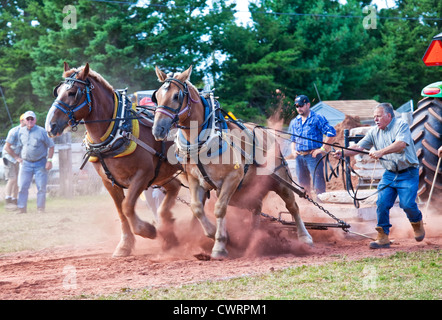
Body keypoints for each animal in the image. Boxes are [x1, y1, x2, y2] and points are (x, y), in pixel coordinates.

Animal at [45, 63, 182, 258]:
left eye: (72, 93)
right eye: (57, 91)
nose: (50, 125)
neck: (118, 130)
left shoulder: (143, 175)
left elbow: (127, 206)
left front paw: (147, 230)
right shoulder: (109, 181)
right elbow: (121, 211)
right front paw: (125, 245)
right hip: (163, 174)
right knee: (175, 187)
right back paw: (169, 229)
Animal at [152, 66, 314, 258]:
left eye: (177, 96)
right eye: (156, 96)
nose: (158, 129)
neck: (205, 141)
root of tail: (268, 134)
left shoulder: (232, 178)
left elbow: (220, 209)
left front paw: (219, 246)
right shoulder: (195, 180)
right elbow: (196, 208)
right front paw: (213, 233)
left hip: (279, 180)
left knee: (292, 206)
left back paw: (305, 238)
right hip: (242, 193)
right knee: (256, 207)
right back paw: (251, 237)